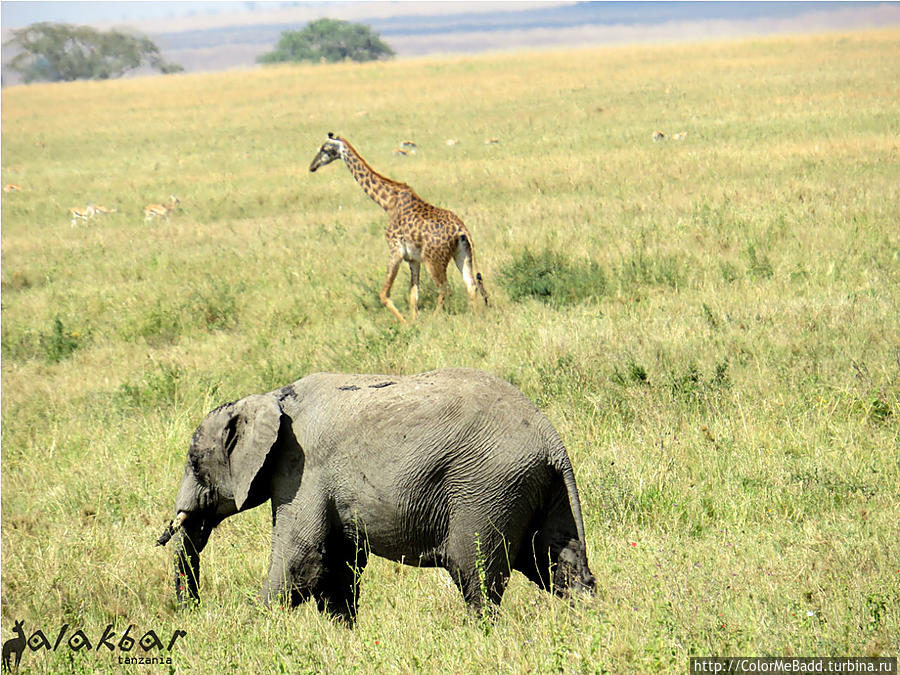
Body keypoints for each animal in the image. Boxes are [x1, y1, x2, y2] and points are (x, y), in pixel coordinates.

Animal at [157, 370, 596, 624]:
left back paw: (480, 634)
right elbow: (337, 564)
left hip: (488, 490)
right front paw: (342, 634)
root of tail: (553, 441)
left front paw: (252, 630)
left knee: (476, 577)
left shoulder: (303, 469)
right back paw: (588, 623)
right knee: (560, 565)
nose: (192, 614)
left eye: (195, 463)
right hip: (539, 488)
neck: (270, 396)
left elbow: (302, 559)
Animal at [308, 135, 486, 324]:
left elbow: (384, 294)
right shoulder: (412, 258)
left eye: (325, 149)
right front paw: (414, 322)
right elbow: (414, 295)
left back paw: (434, 319)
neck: (388, 202)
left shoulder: (396, 251)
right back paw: (476, 318)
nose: (312, 166)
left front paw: (406, 323)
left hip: (433, 259)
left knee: (445, 289)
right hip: (462, 253)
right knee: (471, 285)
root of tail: (461, 229)